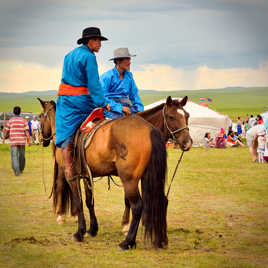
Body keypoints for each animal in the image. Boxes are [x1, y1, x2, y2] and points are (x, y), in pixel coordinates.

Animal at [38, 98, 168, 249]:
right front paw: (92, 229)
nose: (42, 139)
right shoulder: (86, 176)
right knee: (161, 201)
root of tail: (150, 129)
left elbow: (78, 201)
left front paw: (80, 232)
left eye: (40, 116)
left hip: (129, 181)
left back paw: (127, 242)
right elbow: (89, 202)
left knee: (137, 206)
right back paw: (160, 240)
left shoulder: (71, 176)